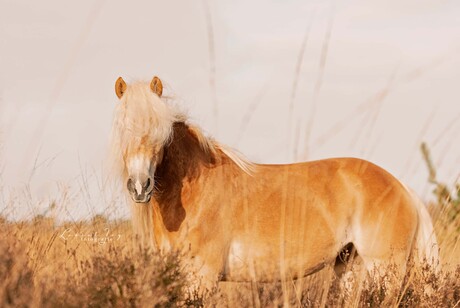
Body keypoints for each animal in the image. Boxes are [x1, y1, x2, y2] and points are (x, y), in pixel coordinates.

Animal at [109, 75, 440, 296]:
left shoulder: (200, 277)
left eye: (160, 132)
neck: (194, 193)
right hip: (350, 267)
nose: (140, 186)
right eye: (122, 129)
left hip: (383, 271)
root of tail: (401, 187)